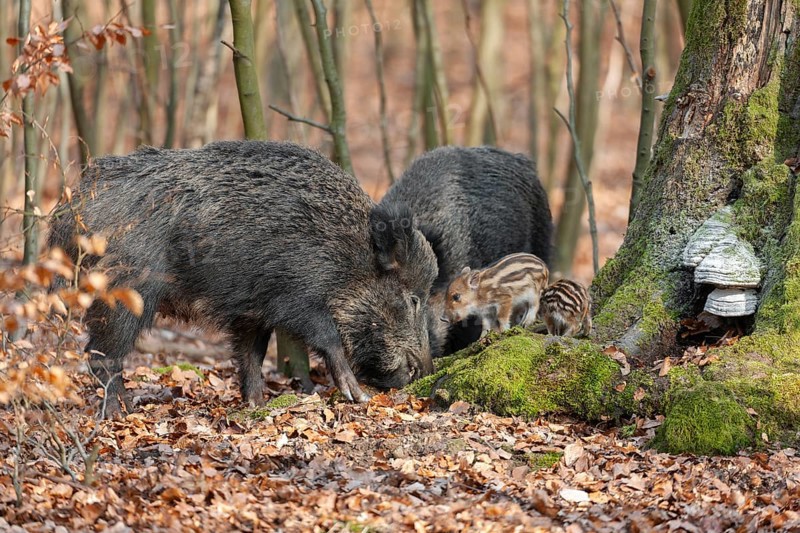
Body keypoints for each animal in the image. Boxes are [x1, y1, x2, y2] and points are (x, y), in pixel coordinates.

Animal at [48, 141, 437, 416]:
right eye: (413, 298)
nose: (424, 370)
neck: (348, 255)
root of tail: (70, 207)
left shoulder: (251, 312)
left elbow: (251, 356)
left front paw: (256, 405)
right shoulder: (296, 297)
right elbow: (328, 338)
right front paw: (357, 396)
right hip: (123, 292)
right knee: (101, 355)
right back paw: (118, 413)